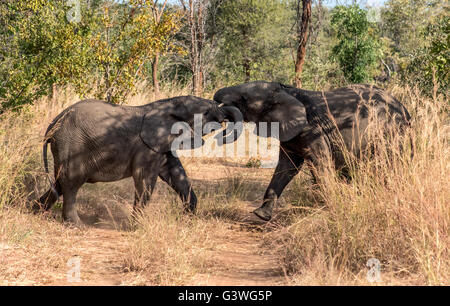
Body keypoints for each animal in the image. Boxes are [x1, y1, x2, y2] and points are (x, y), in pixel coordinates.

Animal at [32, 95, 243, 225]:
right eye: (206, 112)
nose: (223, 132)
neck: (168, 104)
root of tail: (53, 125)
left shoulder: (160, 144)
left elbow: (176, 174)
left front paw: (187, 218)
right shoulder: (146, 146)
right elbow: (145, 178)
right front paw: (137, 225)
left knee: (60, 182)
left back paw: (35, 210)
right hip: (71, 144)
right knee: (71, 182)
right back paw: (76, 225)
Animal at [214, 80, 412, 220]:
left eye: (244, 99)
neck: (285, 90)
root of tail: (406, 112)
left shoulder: (313, 130)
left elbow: (321, 165)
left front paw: (332, 208)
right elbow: (286, 168)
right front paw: (261, 215)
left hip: (392, 135)